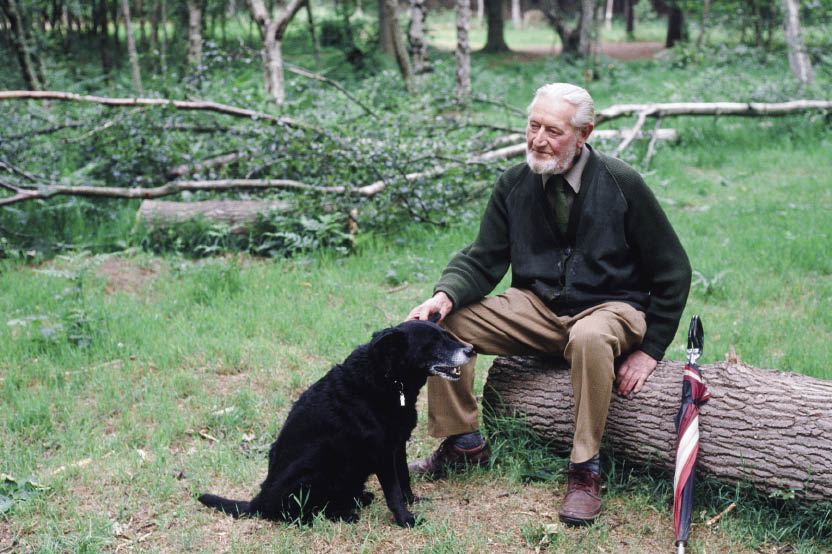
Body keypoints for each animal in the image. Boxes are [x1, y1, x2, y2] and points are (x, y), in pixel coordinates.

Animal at [194, 316, 468, 524]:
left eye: (446, 335)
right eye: (434, 342)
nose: (470, 350)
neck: (388, 379)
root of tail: (258, 502)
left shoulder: (398, 445)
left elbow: (404, 480)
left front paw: (413, 502)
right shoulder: (382, 453)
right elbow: (393, 492)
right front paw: (405, 519)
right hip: (316, 468)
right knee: (295, 514)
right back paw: (342, 515)